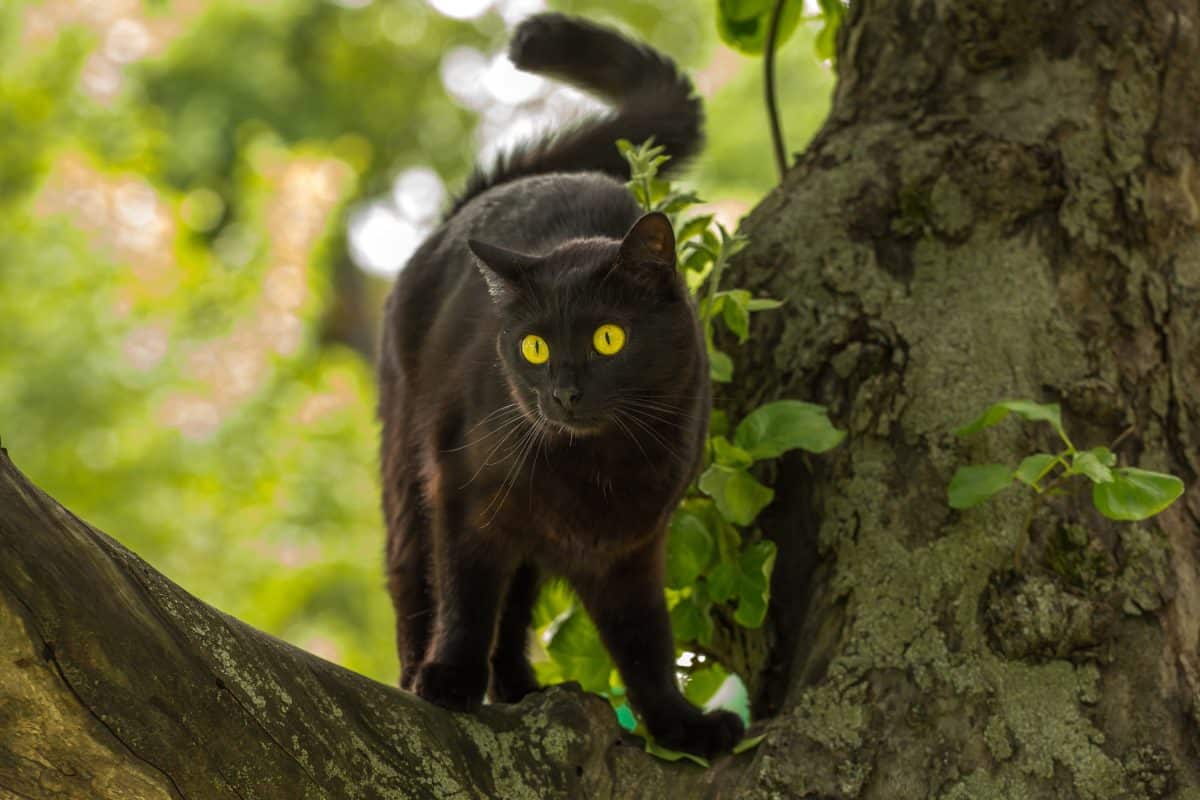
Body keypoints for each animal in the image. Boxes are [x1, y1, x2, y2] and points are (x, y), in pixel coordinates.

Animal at [379, 14, 744, 762]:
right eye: (534, 347)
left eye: (607, 338)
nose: (564, 394)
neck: (594, 465)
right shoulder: (465, 497)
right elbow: (464, 596)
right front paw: (449, 678)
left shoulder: (632, 547)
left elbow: (645, 643)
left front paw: (680, 726)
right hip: (408, 473)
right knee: (416, 580)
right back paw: (420, 672)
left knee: (516, 605)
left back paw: (520, 687)